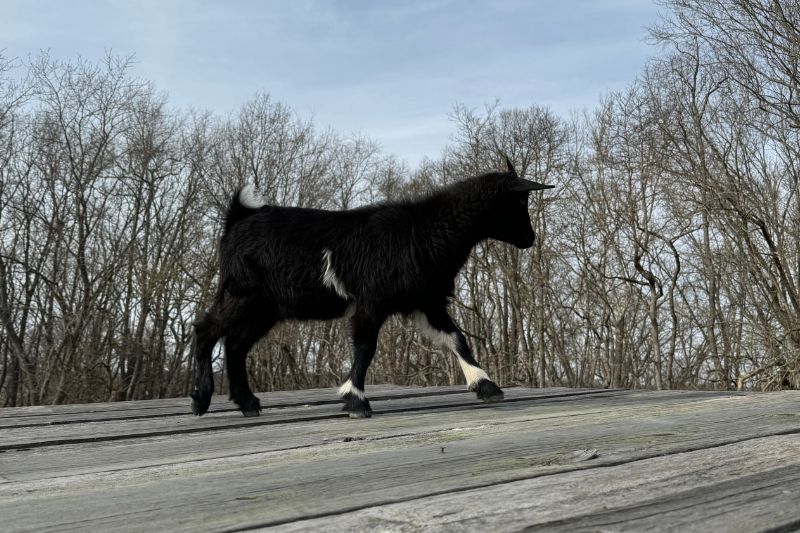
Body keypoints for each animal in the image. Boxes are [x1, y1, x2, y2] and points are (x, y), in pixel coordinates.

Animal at [191, 158, 554, 418]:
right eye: (518, 204)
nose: (530, 239)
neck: (424, 231)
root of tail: (237, 220)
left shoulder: (426, 301)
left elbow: (456, 338)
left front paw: (487, 386)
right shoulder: (372, 301)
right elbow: (366, 348)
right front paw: (355, 401)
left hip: (265, 307)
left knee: (236, 344)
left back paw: (248, 403)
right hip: (242, 293)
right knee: (206, 329)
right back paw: (201, 398)